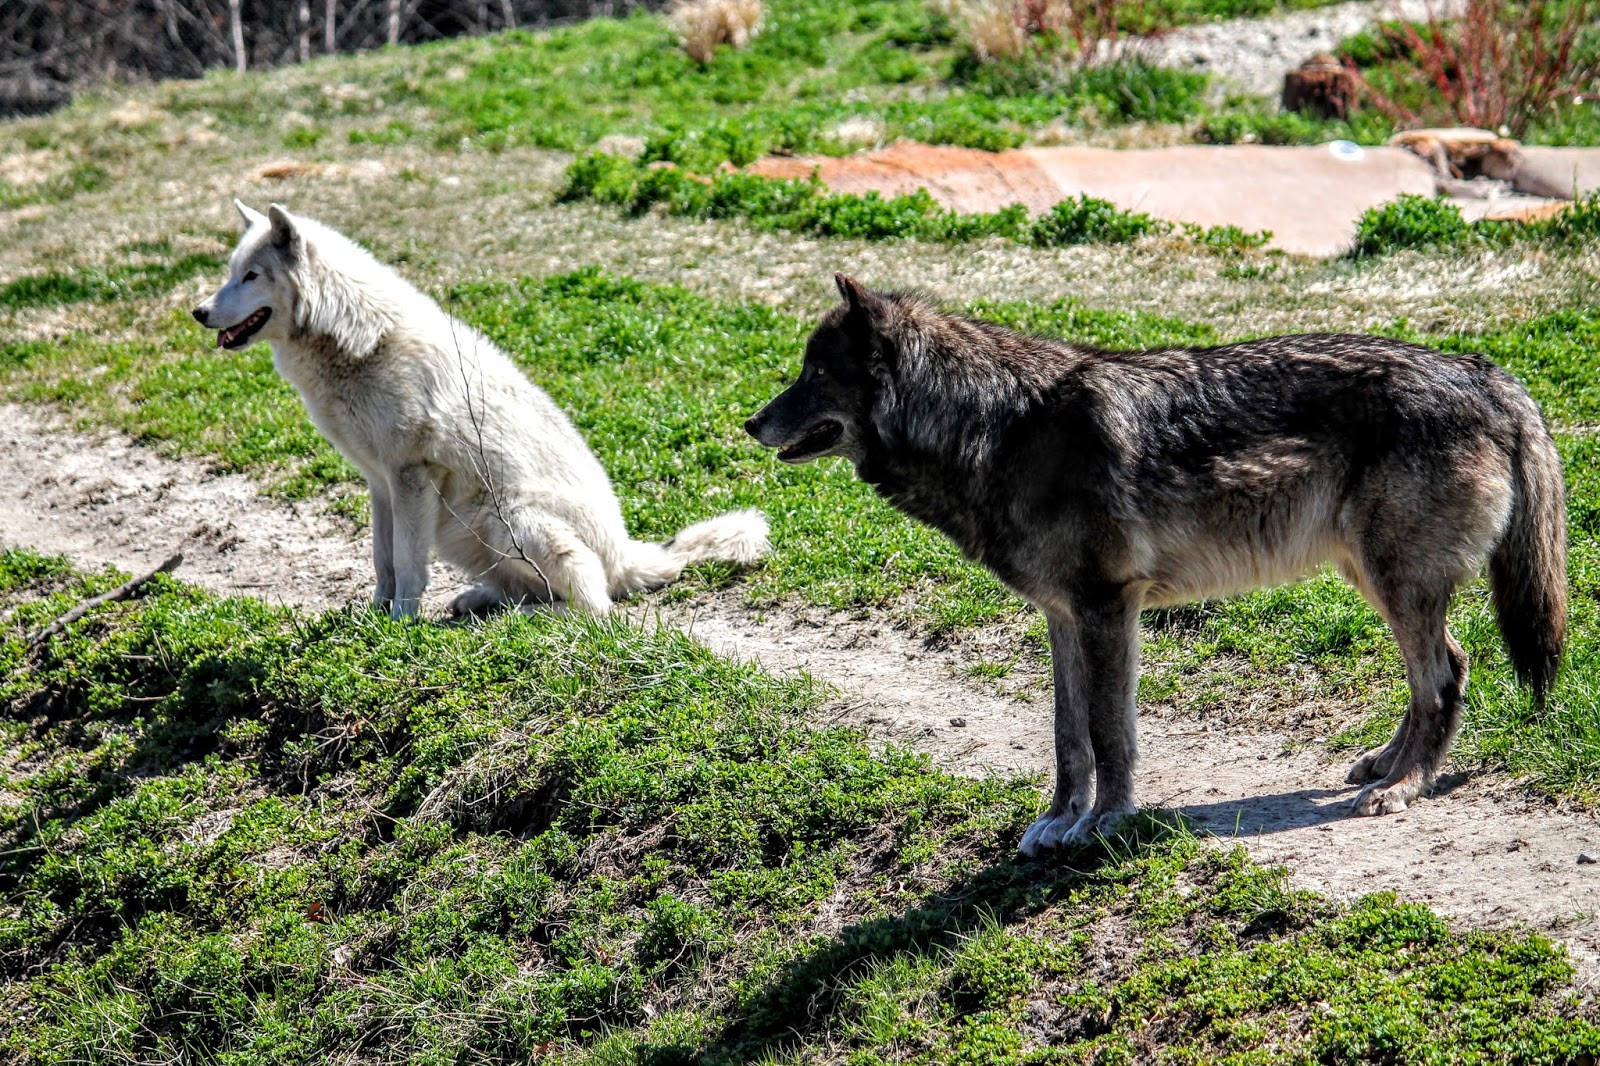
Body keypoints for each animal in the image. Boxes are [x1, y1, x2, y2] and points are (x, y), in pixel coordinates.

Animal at [194, 201, 768, 619]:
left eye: (252, 276)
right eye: (230, 273)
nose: (198, 311)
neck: (359, 341)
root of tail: (628, 555)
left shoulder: (411, 476)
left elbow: (406, 563)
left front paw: (401, 623)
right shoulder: (378, 482)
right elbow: (382, 559)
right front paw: (374, 616)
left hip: (504, 516)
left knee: (595, 604)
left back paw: (529, 617)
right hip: (463, 535)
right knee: (542, 590)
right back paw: (480, 602)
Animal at [747, 274, 1566, 856]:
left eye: (814, 373)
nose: (748, 422)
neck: (998, 429)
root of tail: (1488, 372)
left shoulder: (1109, 607)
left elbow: (1111, 734)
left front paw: (1103, 824)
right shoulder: (1063, 616)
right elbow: (1067, 735)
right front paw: (1057, 822)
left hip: (1396, 583)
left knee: (1445, 676)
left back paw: (1405, 788)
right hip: (1373, 579)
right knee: (1442, 672)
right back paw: (1385, 766)